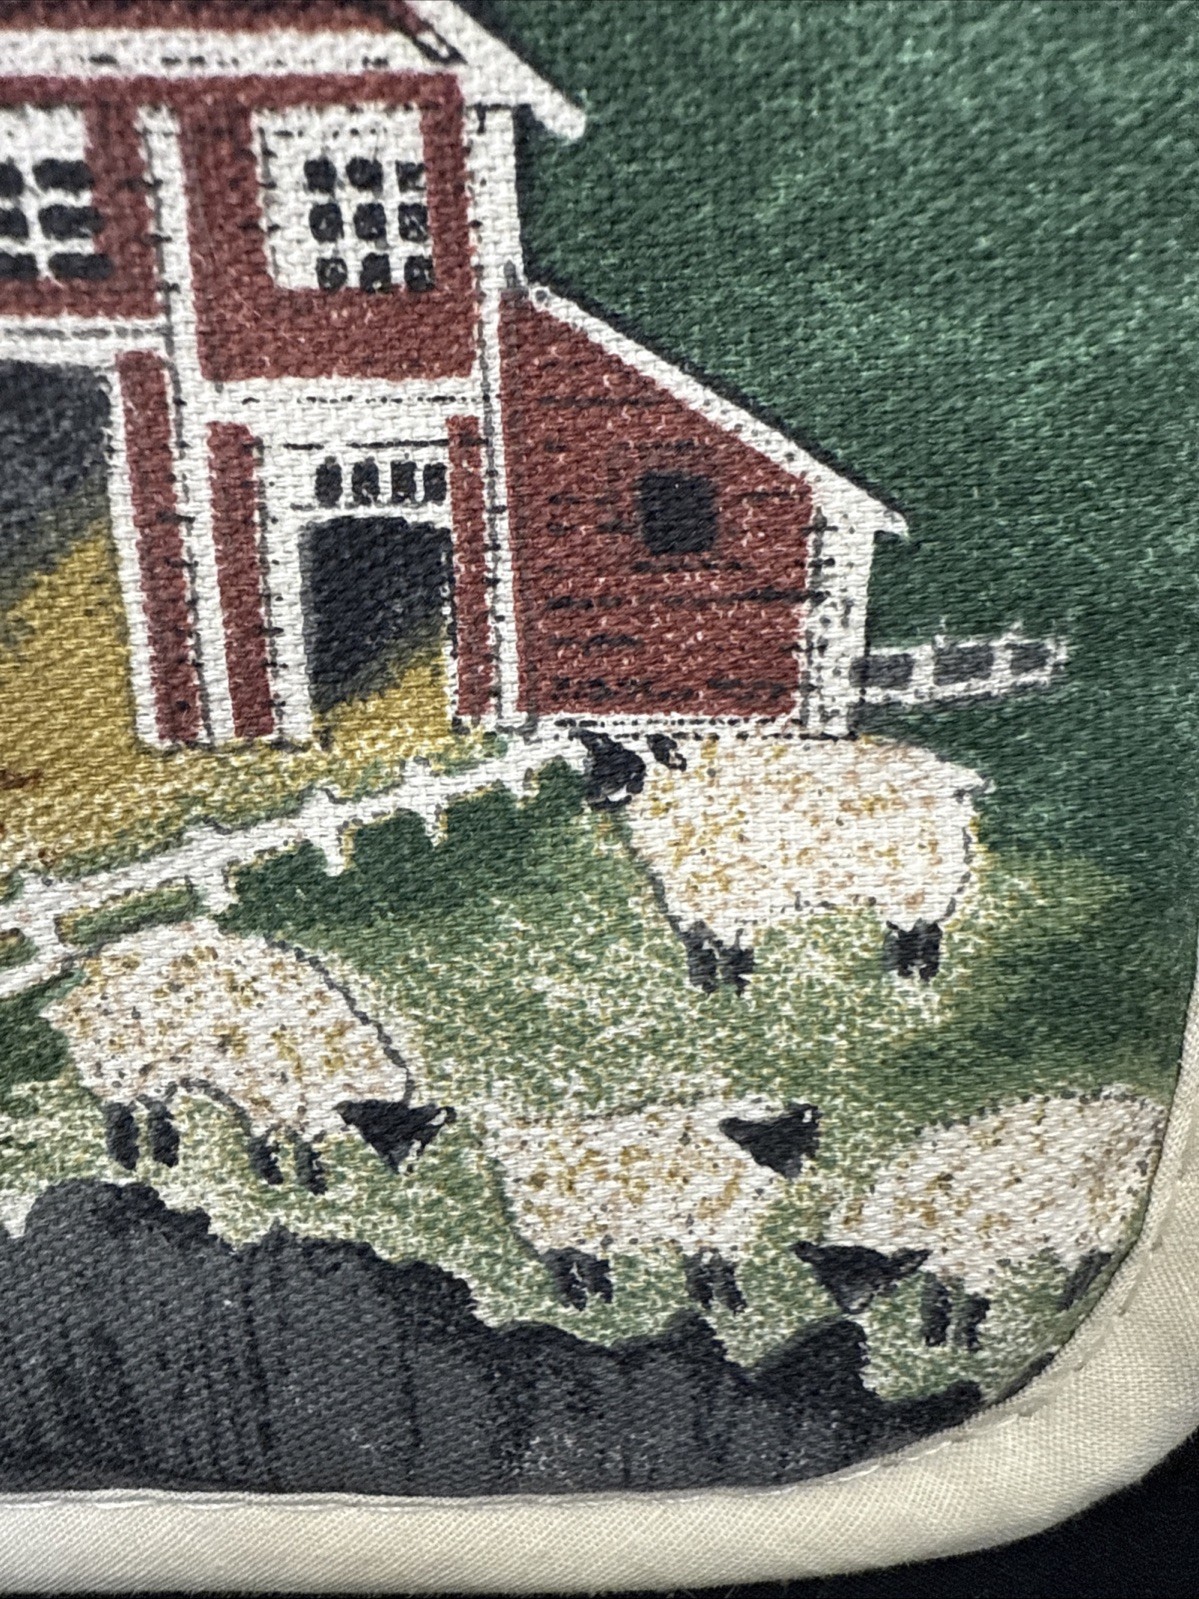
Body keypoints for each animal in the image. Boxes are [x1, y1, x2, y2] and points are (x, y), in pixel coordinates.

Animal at [45, 919, 453, 1191]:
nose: (407, 1174)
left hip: (157, 1062)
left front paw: (309, 1179)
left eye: (423, 1141)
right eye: (401, 1136)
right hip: (114, 1056)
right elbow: (269, 1137)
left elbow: (303, 1141)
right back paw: (127, 1155)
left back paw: (165, 1151)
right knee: (118, 1106)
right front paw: (281, 1177)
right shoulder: (265, 1095)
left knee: (155, 1102)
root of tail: (97, 959)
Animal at [484, 1096, 820, 1311]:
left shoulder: (724, 1230)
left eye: (803, 1141)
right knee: (560, 1262)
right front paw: (713, 1302)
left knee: (584, 1257)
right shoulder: (698, 1225)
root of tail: (513, 1136)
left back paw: (603, 1295)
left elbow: (720, 1266)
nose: (795, 1171)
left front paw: (727, 1304)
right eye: (765, 1143)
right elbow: (704, 1267)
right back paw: (577, 1301)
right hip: (549, 1220)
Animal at [607, 730, 985, 988]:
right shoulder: (689, 898)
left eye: (630, 766)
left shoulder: (729, 898)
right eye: (603, 760)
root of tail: (953, 781)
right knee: (920, 930)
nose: (600, 796)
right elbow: (699, 948)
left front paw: (736, 993)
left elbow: (731, 950)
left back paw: (914, 976)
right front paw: (708, 990)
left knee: (922, 930)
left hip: (920, 877)